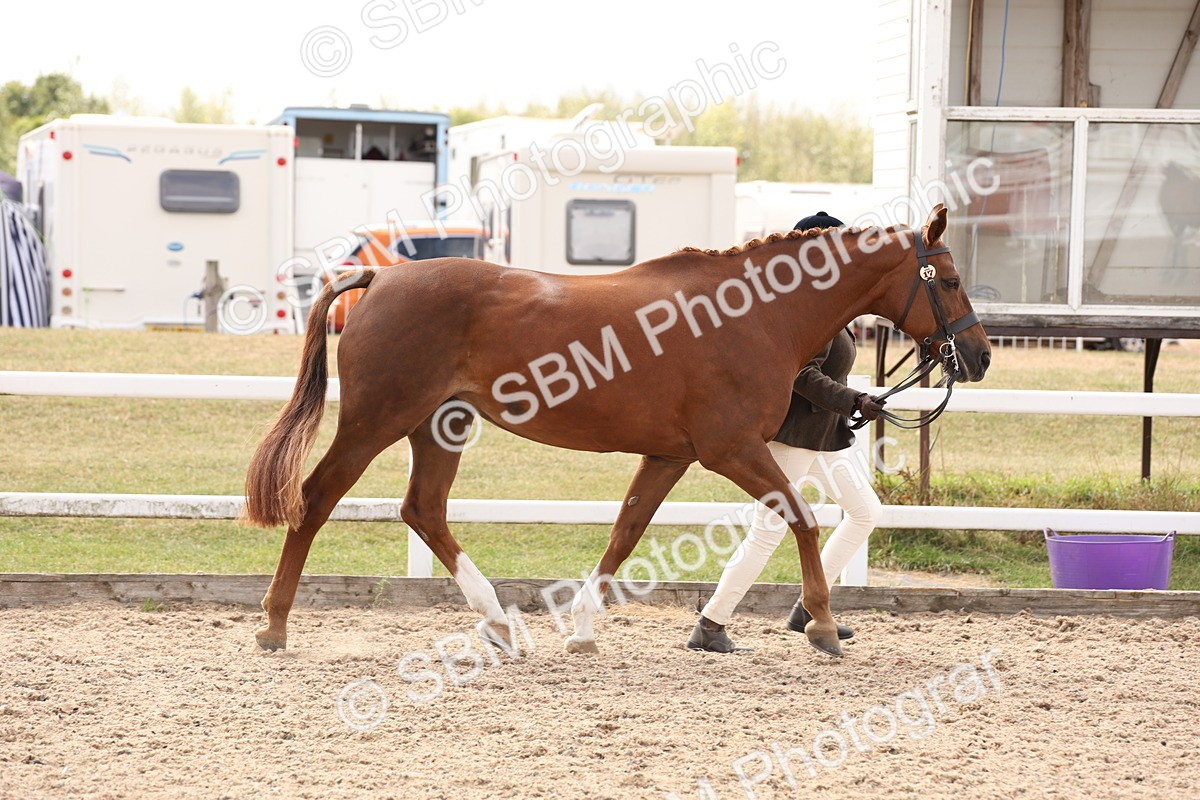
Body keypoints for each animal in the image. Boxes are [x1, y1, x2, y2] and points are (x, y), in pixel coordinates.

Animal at [242, 203, 991, 658]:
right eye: (951, 280)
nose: (979, 356)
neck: (754, 316)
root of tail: (376, 278)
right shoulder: (731, 450)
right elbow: (803, 521)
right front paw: (826, 626)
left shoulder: (668, 456)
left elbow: (625, 533)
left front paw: (582, 629)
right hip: (376, 420)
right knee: (318, 498)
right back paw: (274, 623)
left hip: (439, 426)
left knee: (423, 510)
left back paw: (499, 623)